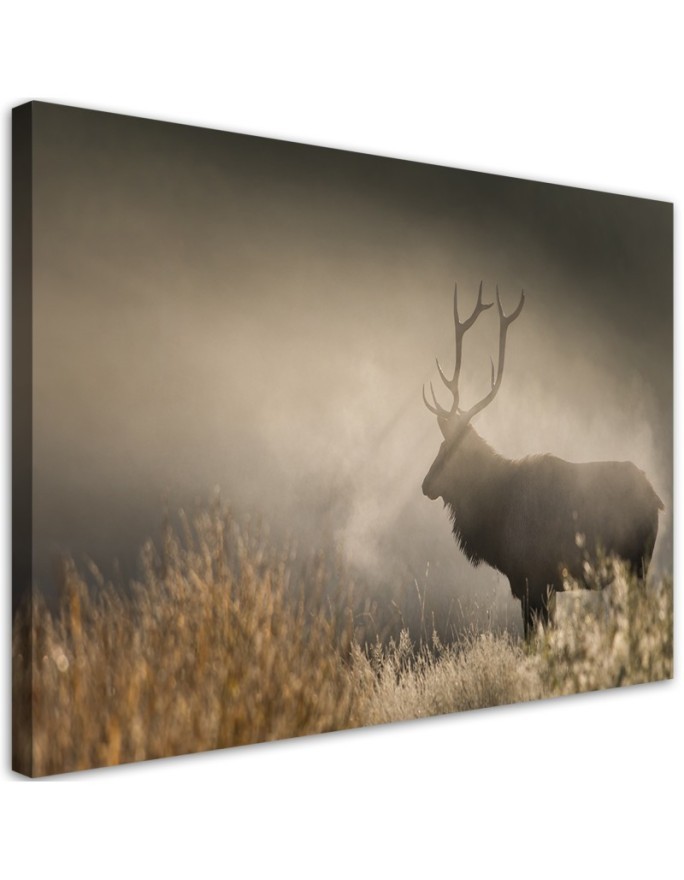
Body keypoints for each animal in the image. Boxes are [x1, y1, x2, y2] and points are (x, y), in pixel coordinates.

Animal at [421, 282, 663, 637]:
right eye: (441, 444)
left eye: (454, 450)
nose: (425, 485)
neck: (495, 513)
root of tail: (656, 498)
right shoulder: (539, 583)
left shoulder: (534, 577)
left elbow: (534, 638)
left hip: (636, 566)